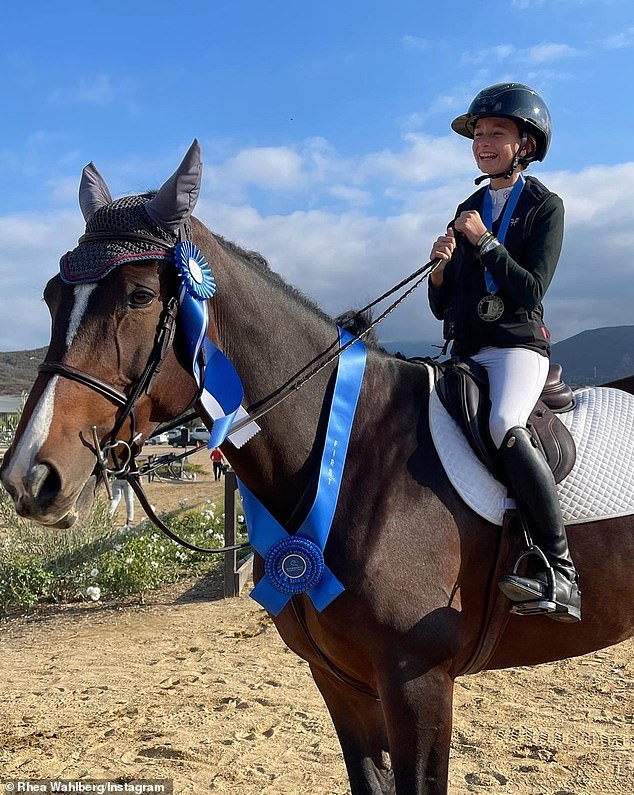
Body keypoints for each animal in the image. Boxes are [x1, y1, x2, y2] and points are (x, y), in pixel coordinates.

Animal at [1, 143, 632, 795]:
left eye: (139, 297)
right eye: (51, 296)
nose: (30, 477)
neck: (359, 454)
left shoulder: (418, 682)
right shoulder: (340, 684)